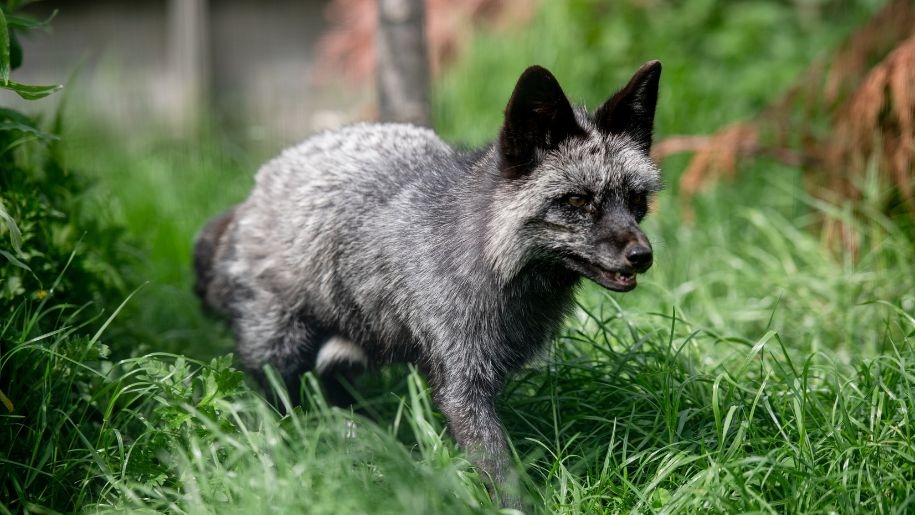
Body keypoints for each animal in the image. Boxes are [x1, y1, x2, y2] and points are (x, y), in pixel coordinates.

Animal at [195, 60, 664, 504]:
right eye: (578, 200)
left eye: (636, 200)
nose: (643, 256)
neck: (487, 255)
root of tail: (252, 194)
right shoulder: (461, 384)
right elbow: (500, 470)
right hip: (281, 352)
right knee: (281, 407)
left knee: (333, 391)